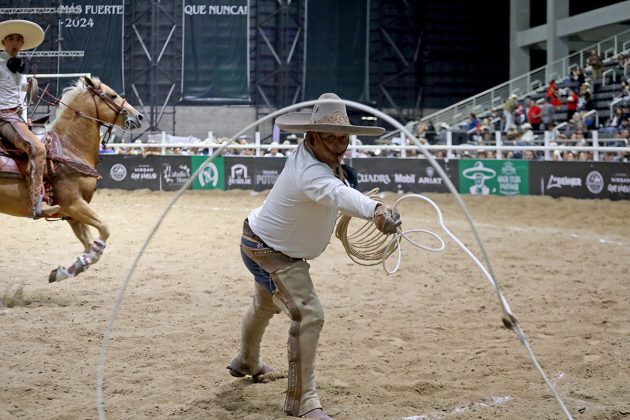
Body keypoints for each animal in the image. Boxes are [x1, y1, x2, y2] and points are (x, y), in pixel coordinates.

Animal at [0, 77, 144, 284]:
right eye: (112, 95)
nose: (138, 116)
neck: (69, 148)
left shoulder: (71, 213)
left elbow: (88, 242)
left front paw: (69, 269)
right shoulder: (73, 204)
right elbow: (104, 229)